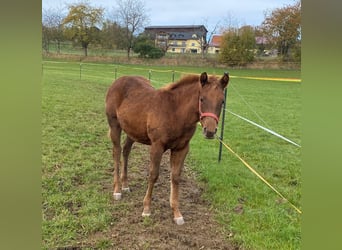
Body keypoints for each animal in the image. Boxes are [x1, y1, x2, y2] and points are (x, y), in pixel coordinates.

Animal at [106, 72, 230, 225]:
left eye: (222, 102)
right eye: (202, 99)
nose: (210, 131)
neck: (175, 112)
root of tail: (118, 80)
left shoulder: (181, 149)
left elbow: (175, 177)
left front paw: (177, 213)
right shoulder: (157, 146)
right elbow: (153, 175)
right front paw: (146, 209)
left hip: (132, 131)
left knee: (126, 150)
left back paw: (125, 185)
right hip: (115, 125)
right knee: (116, 152)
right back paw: (117, 190)